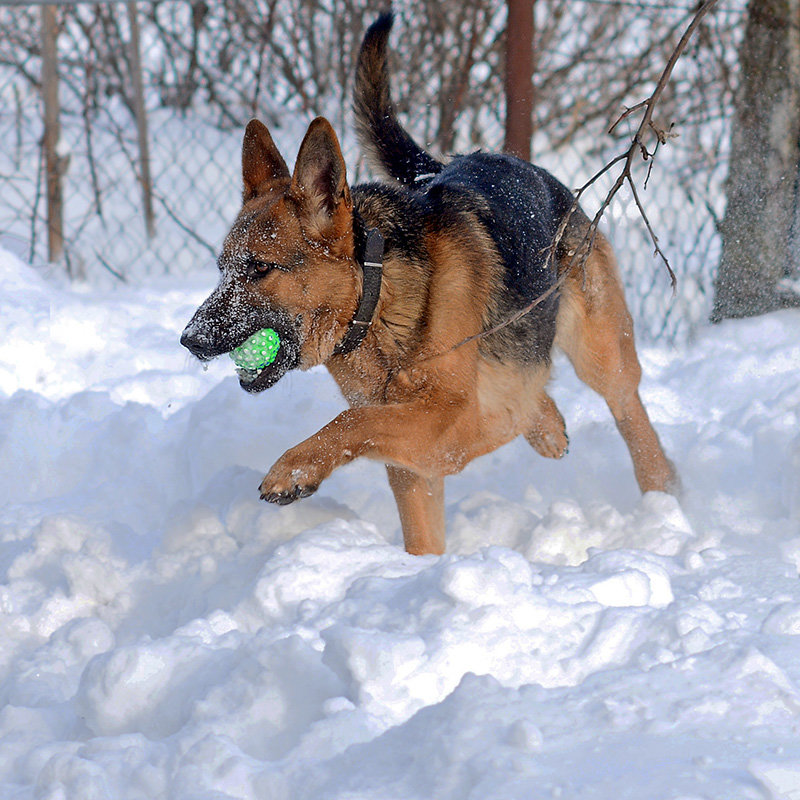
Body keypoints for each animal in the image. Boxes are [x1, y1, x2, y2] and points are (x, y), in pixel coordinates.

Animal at [180, 12, 676, 552]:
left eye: (259, 269)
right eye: (222, 267)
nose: (189, 340)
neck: (378, 300)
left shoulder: (447, 424)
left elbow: (356, 421)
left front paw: (293, 468)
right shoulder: (418, 459)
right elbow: (409, 507)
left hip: (601, 353)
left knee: (632, 417)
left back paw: (665, 502)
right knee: (530, 394)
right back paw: (549, 428)